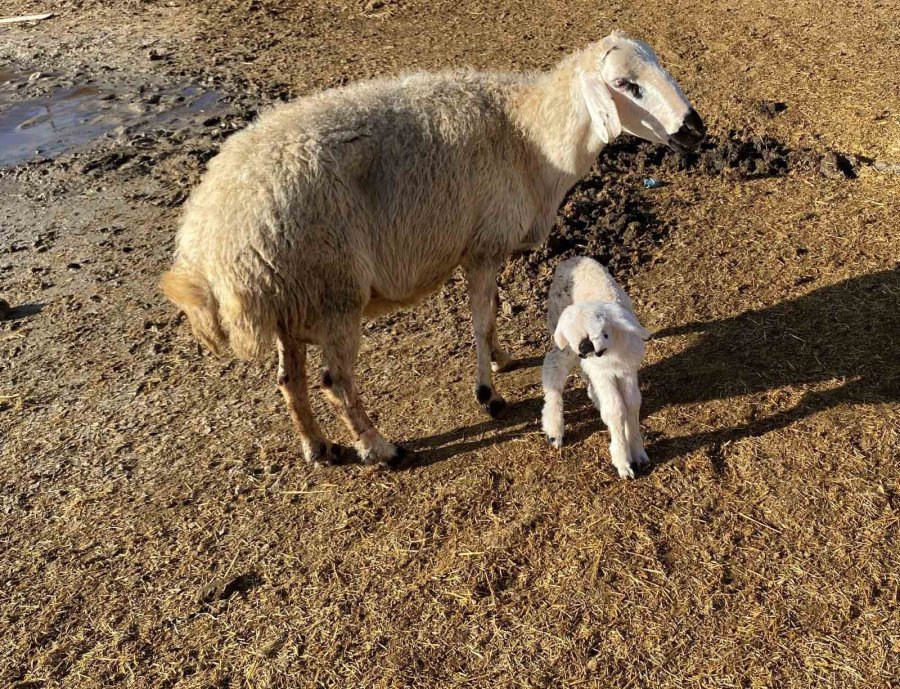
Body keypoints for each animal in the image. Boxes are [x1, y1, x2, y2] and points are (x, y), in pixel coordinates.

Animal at [536, 256, 652, 478]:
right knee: (553, 367)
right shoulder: (602, 374)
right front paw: (623, 463)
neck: (611, 354)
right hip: (563, 339)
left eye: (603, 329)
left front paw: (639, 454)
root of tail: (571, 258)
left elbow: (632, 403)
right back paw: (554, 430)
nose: (585, 346)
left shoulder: (627, 369)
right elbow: (616, 408)